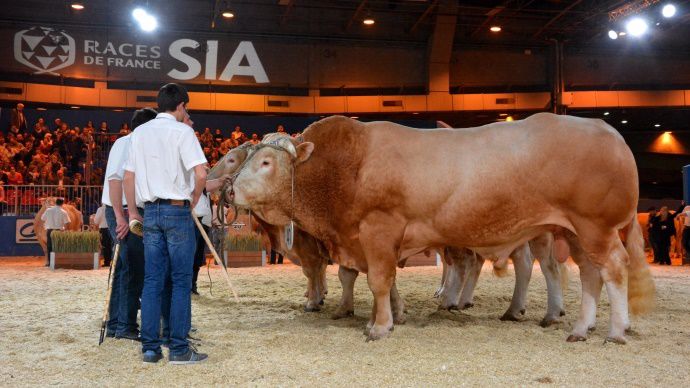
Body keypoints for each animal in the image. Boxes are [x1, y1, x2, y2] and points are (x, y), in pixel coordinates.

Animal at [230, 113, 652, 342]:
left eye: (265, 162)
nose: (231, 189)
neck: (346, 168)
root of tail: (609, 131)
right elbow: (376, 280)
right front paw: (383, 316)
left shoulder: (379, 228)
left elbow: (379, 281)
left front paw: (379, 326)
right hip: (575, 232)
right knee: (589, 275)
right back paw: (580, 327)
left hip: (595, 226)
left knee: (613, 269)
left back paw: (614, 330)